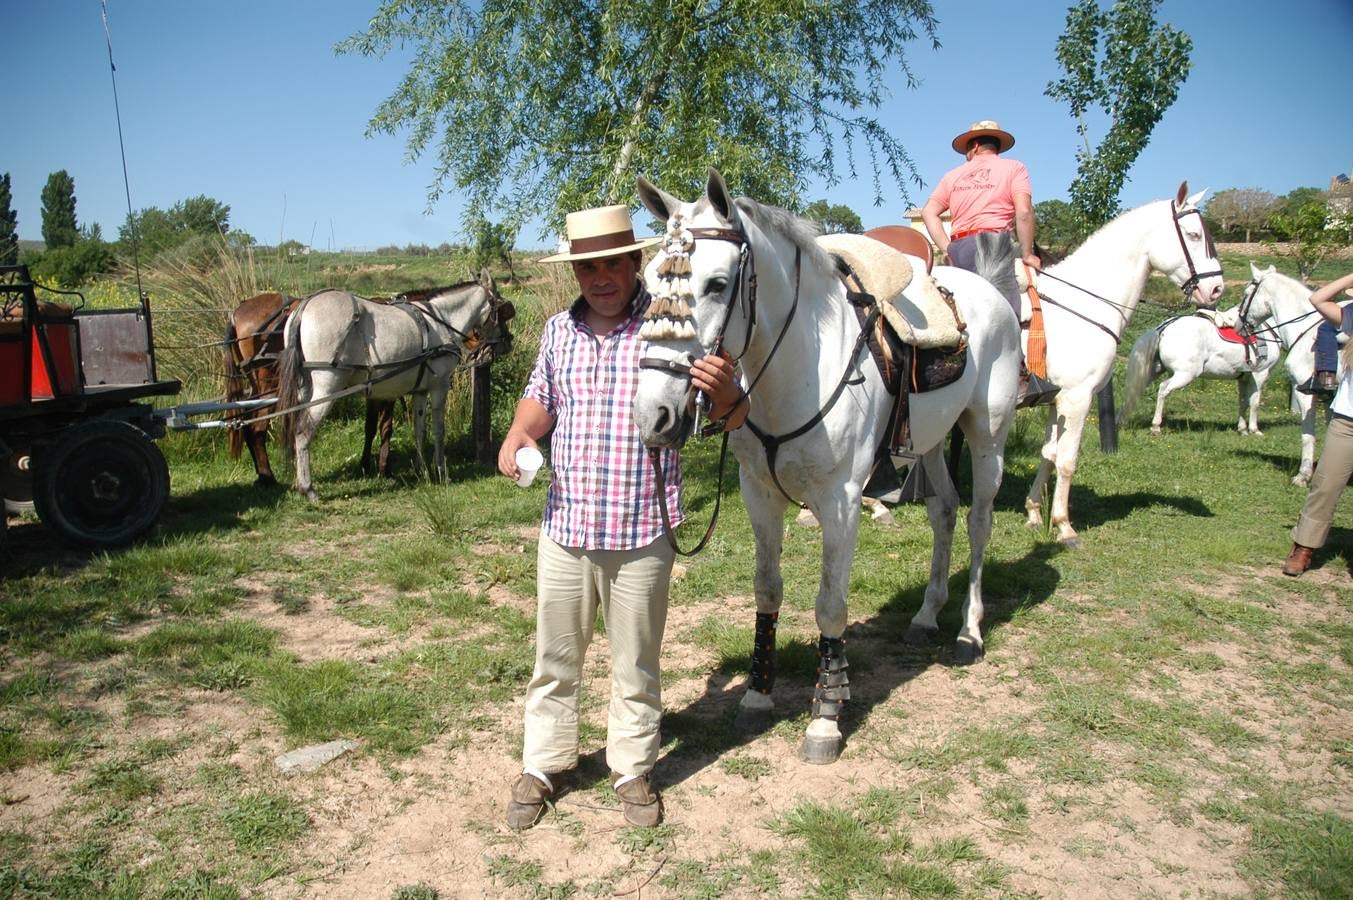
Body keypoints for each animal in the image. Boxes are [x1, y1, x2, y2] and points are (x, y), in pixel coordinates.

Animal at [223, 290, 395, 487]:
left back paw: (263, 475)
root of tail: (236, 313)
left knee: (247, 423)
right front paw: (384, 468)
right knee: (256, 429)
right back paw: (268, 477)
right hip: (270, 387)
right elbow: (385, 427)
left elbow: (371, 426)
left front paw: (367, 465)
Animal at [277, 273, 508, 498]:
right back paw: (308, 488)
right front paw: (442, 472)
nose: (507, 342)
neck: (442, 321)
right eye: (502, 308)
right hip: (326, 389)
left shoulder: (420, 390)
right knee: (303, 433)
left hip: (304, 390)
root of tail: (304, 305)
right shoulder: (439, 386)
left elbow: (419, 430)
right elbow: (438, 430)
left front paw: (422, 470)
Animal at [627, 170, 1017, 763]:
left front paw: (825, 718)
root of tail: (988, 290)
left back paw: (969, 634)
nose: (655, 415)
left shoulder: (841, 501)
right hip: (928, 444)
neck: (796, 369)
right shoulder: (758, 493)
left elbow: (830, 606)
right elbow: (767, 589)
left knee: (978, 522)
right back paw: (927, 616)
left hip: (986, 435)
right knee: (945, 512)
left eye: (717, 284)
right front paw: (758, 697)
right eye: (650, 284)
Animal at [1017, 182, 1228, 544]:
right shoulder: (1077, 397)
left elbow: (1049, 454)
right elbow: (1068, 460)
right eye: (1194, 234)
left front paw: (1033, 513)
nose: (1216, 288)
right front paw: (1064, 525)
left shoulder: (1057, 401)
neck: (1081, 301)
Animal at [1120, 266, 1277, 435]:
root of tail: (1165, 327)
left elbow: (1243, 401)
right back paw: (1156, 426)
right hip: (1185, 374)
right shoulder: (1259, 374)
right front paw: (1254, 429)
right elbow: (1254, 402)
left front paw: (1242, 429)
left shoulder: (1244, 377)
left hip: (1153, 370)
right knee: (1163, 388)